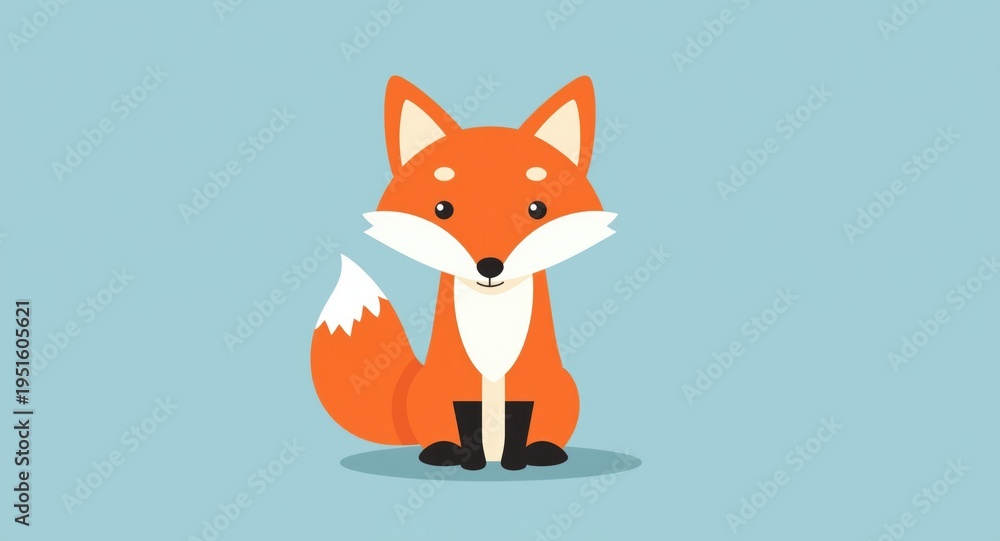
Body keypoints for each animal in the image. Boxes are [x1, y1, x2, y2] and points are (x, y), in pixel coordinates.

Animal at [310, 75, 616, 471]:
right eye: (442, 209)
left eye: (537, 208)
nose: (489, 266)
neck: (491, 318)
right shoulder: (458, 384)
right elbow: (468, 419)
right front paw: (471, 463)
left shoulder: (527, 383)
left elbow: (518, 421)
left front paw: (513, 464)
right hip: (428, 392)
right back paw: (440, 452)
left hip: (563, 387)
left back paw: (542, 450)